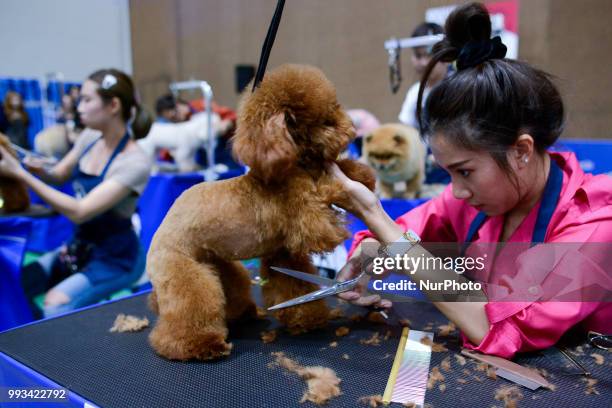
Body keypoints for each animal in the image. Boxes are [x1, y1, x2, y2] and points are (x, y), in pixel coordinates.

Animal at [148, 63, 378, 360]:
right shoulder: (306, 217)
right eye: (326, 121)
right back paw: (200, 344)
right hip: (184, 271)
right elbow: (322, 190)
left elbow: (294, 287)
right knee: (188, 312)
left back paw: (245, 315)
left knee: (232, 291)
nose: (351, 129)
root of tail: (159, 234)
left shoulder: (283, 253)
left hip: (219, 265)